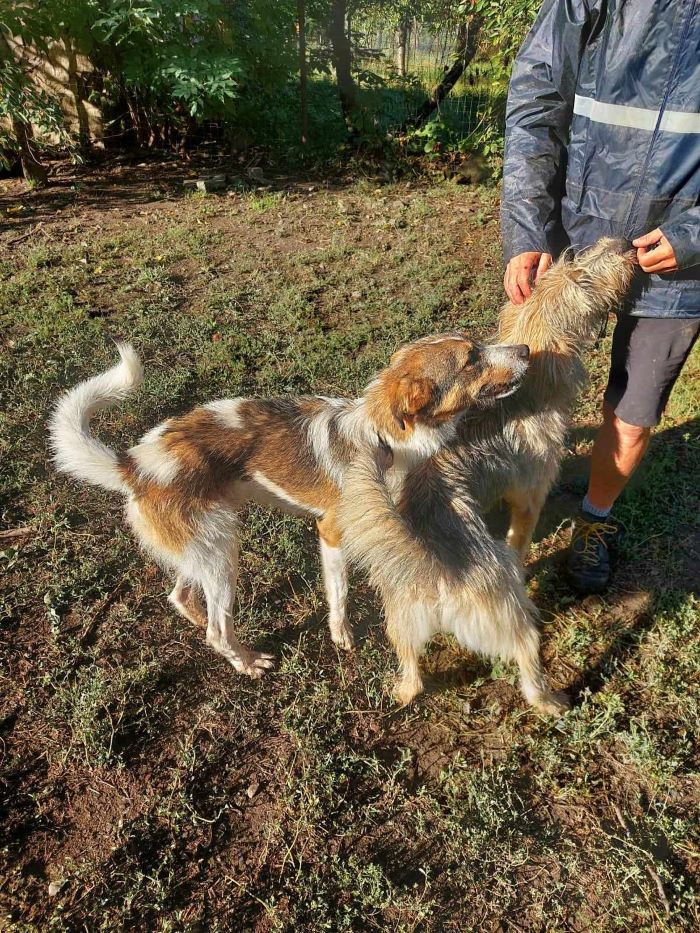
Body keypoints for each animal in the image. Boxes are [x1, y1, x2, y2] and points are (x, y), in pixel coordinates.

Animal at [49, 334, 532, 676]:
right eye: (471, 359)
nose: (527, 349)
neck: (383, 437)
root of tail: (134, 463)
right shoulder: (332, 533)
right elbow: (339, 595)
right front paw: (342, 637)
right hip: (222, 550)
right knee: (217, 630)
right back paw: (247, 663)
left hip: (205, 548)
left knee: (181, 596)